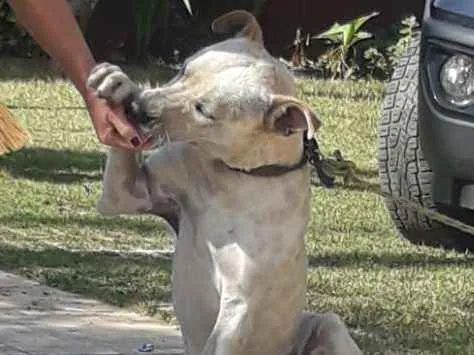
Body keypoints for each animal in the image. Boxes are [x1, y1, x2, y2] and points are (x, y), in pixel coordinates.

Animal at [88, 10, 362, 355]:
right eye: (184, 68)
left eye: (204, 110)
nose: (136, 109)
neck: (234, 176)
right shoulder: (131, 192)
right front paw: (115, 83)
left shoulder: (240, 305)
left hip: (327, 326)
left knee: (330, 324)